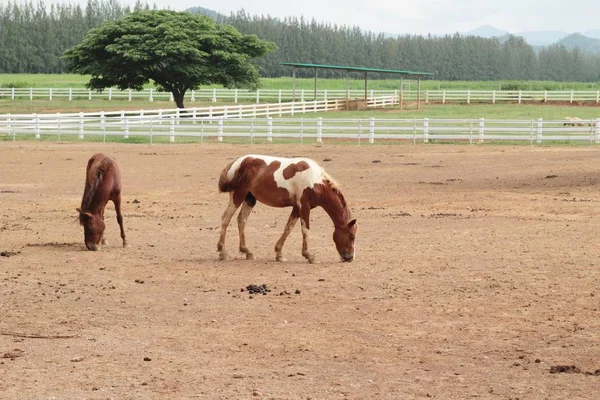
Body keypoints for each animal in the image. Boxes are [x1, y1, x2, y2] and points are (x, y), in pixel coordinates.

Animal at [217, 155, 356, 264]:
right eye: (352, 236)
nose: (350, 258)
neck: (315, 180)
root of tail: (236, 163)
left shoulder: (297, 208)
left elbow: (288, 228)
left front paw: (279, 254)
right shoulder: (304, 207)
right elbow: (305, 230)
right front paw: (309, 255)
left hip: (249, 199)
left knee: (241, 220)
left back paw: (247, 252)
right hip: (238, 196)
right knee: (225, 218)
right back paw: (223, 252)